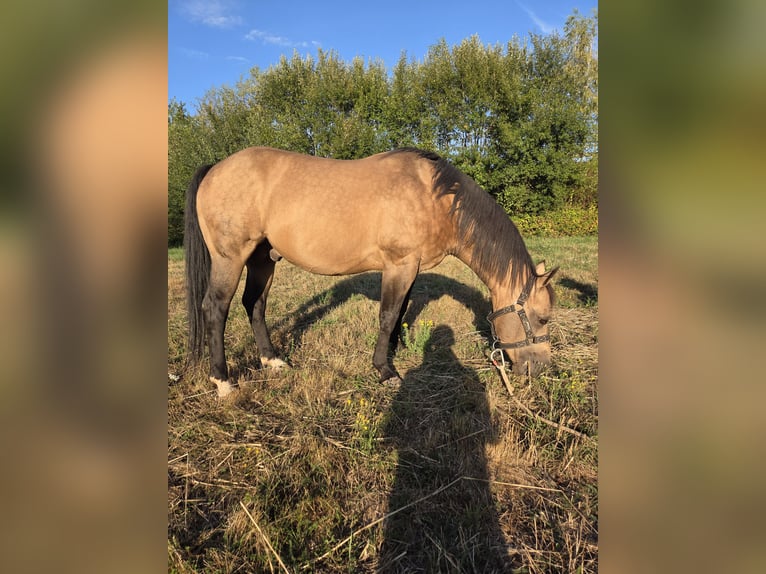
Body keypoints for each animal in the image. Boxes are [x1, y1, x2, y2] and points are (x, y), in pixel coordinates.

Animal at [184, 147, 558, 397]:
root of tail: (216, 168)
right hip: (230, 258)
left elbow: (400, 312)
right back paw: (223, 381)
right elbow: (388, 315)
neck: (433, 198)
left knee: (255, 304)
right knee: (215, 308)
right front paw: (385, 370)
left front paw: (393, 352)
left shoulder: (410, 267)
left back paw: (272, 360)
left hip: (263, 258)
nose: (539, 368)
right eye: (542, 318)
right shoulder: (399, 264)